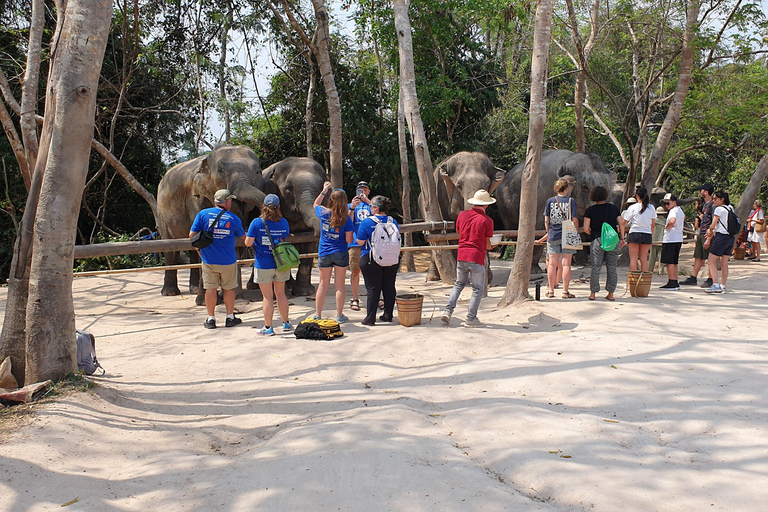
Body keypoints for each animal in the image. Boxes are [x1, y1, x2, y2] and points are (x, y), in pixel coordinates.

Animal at [156, 143, 268, 296]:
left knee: (192, 248)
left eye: (258, 172)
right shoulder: (196, 198)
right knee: (170, 248)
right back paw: (170, 292)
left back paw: (194, 289)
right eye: (221, 171)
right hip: (161, 212)